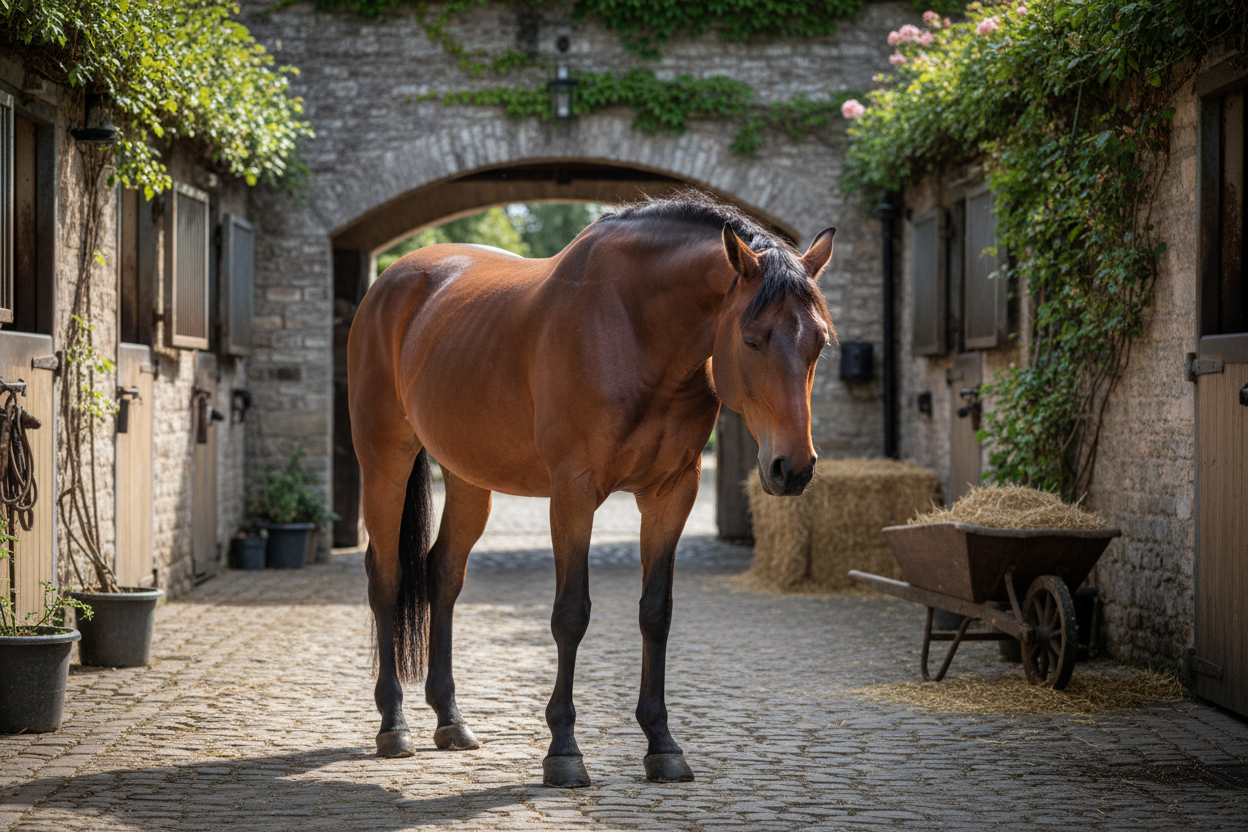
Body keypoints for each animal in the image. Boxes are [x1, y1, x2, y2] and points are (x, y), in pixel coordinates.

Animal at [347, 192, 836, 788]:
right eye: (752, 339)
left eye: (819, 343)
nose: (794, 468)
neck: (634, 330)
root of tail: (392, 281)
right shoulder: (573, 494)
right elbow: (571, 614)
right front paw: (563, 751)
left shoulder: (672, 492)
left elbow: (656, 613)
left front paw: (662, 745)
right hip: (384, 461)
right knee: (387, 577)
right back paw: (393, 725)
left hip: (467, 478)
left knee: (443, 573)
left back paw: (450, 720)